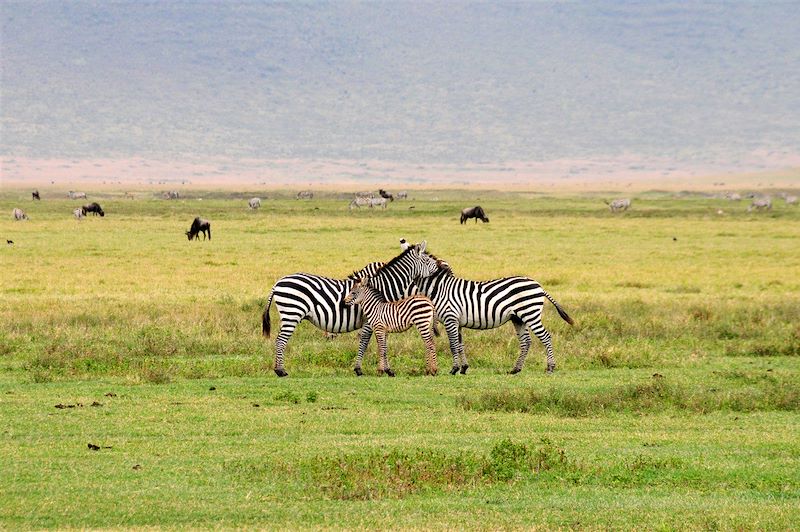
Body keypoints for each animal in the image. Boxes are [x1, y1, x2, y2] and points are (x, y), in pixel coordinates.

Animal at [262, 241, 444, 378]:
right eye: (427, 259)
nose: (441, 267)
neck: (383, 286)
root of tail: (278, 283)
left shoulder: (380, 320)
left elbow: (378, 343)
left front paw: (381, 369)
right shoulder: (370, 321)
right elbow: (366, 342)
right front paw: (362, 369)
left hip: (289, 314)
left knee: (280, 340)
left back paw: (278, 369)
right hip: (292, 313)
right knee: (281, 340)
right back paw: (280, 371)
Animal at [400, 249, 576, 374]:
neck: (440, 289)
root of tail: (538, 285)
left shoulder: (450, 319)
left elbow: (453, 344)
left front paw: (454, 369)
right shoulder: (457, 322)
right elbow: (460, 344)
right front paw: (463, 368)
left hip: (530, 313)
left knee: (545, 337)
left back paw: (550, 367)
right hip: (518, 318)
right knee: (526, 341)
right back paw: (516, 369)